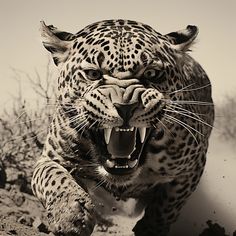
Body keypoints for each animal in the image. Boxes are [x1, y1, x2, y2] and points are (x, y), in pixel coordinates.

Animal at [30, 18, 214, 236]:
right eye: (93, 74)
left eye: (152, 73)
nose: (125, 107)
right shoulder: (51, 158)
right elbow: (54, 179)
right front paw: (71, 214)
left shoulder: (192, 168)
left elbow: (168, 206)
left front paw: (151, 229)